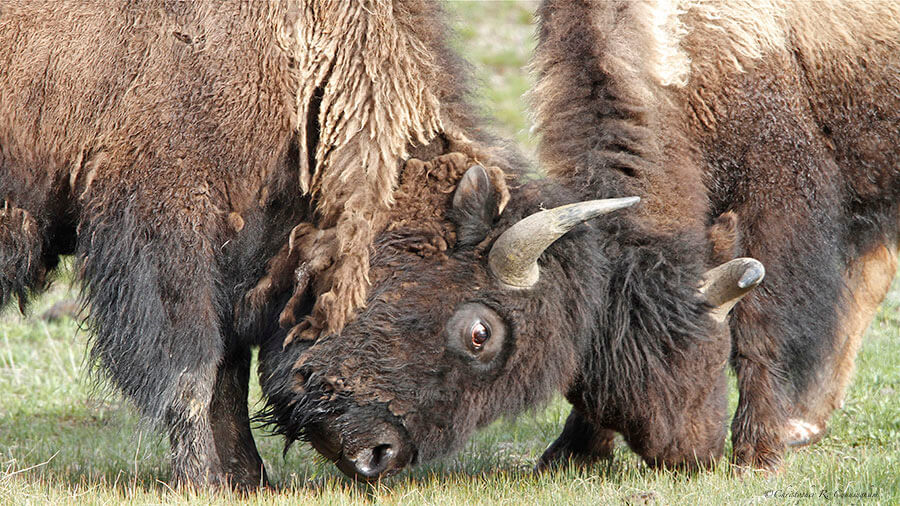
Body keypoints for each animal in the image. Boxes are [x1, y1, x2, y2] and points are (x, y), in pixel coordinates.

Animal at [0, 0, 502, 490]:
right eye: (479, 333)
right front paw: (202, 480)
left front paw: (247, 479)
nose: (382, 456)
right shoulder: (166, 232)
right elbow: (194, 370)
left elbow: (230, 372)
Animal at [258, 0, 900, 478]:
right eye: (587, 365)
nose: (686, 454)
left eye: (699, 346)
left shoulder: (781, 190)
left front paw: (758, 454)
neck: (673, 48)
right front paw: (569, 452)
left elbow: (764, 325)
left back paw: (798, 425)